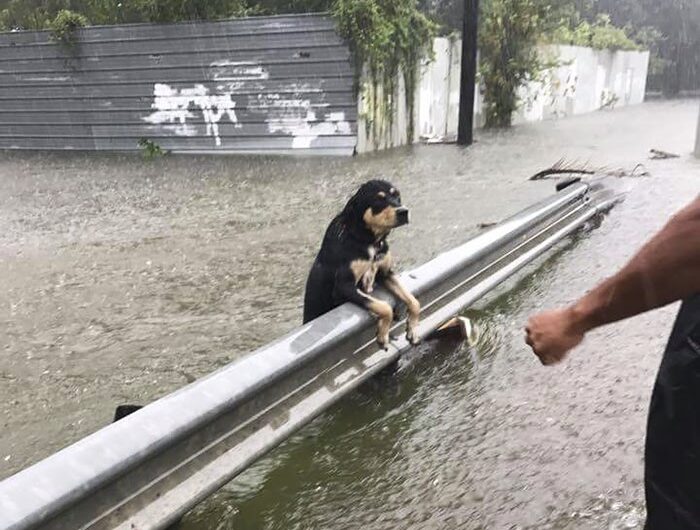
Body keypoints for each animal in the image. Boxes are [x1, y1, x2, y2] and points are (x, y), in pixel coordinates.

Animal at [302, 179, 422, 348]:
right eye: (378, 200)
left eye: (397, 196)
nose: (403, 211)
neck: (368, 240)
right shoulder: (343, 286)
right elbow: (384, 307)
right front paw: (383, 335)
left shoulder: (386, 273)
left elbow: (414, 301)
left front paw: (413, 329)